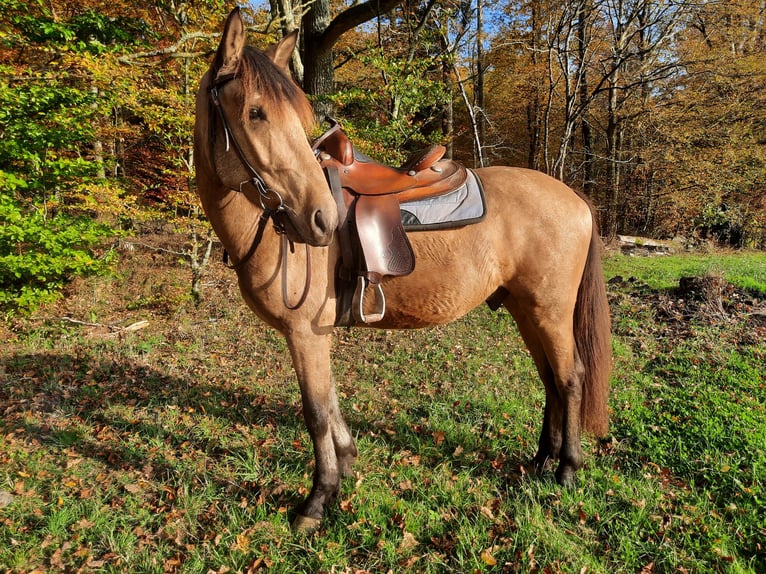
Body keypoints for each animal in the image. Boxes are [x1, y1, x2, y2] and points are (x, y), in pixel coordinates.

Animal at [195, 7, 616, 536]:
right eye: (255, 113)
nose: (321, 219)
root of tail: (576, 198)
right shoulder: (317, 333)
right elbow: (331, 399)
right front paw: (347, 463)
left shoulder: (304, 332)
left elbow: (315, 411)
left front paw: (317, 500)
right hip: (526, 309)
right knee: (549, 379)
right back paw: (541, 461)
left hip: (551, 310)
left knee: (570, 378)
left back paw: (566, 470)